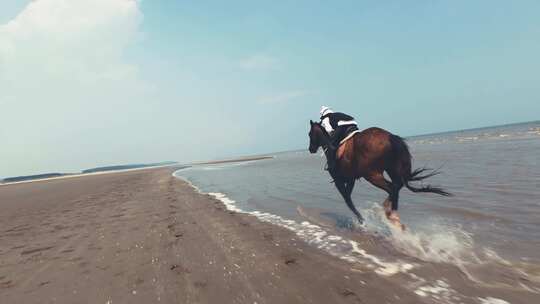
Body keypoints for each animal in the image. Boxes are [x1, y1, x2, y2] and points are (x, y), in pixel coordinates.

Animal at [308, 120, 452, 229]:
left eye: (310, 134)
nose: (310, 149)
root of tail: (390, 137)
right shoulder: (350, 179)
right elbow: (348, 198)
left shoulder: (339, 181)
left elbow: (348, 200)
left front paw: (361, 220)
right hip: (391, 170)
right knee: (397, 186)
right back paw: (388, 212)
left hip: (372, 175)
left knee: (392, 188)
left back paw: (391, 215)